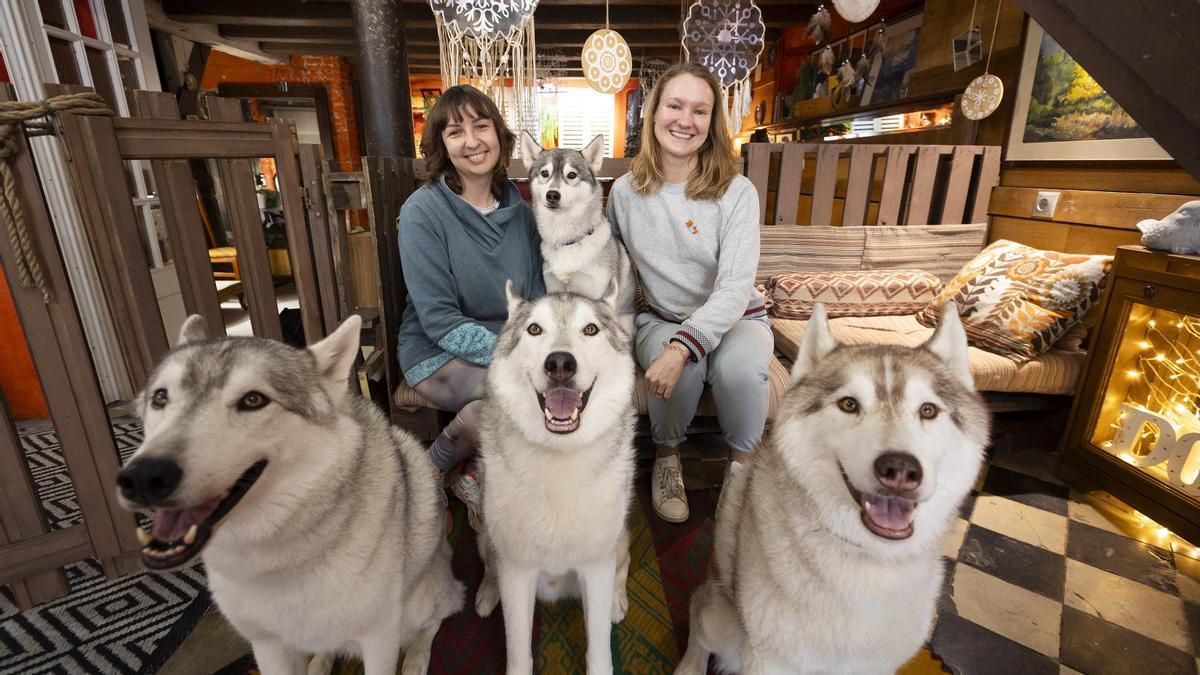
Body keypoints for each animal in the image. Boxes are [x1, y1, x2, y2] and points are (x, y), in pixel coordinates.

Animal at [115, 314, 463, 672]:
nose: (142, 477)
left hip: (420, 604)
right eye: (160, 397)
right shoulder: (267, 646)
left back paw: (417, 657)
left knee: (436, 617)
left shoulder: (379, 639)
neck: (273, 553)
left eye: (253, 400)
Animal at [472, 282, 638, 672]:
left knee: (622, 567)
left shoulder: (596, 566)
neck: (559, 457)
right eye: (535, 329)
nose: (560, 363)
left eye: (590, 329)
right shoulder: (516, 571)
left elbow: (599, 650)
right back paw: (487, 593)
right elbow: (518, 651)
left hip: (619, 539)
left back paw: (617, 602)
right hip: (486, 535)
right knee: (488, 566)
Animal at [681, 305, 988, 672]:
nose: (900, 469)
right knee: (697, 615)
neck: (868, 558)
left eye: (928, 410)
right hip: (719, 620)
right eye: (849, 404)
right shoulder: (768, 657)